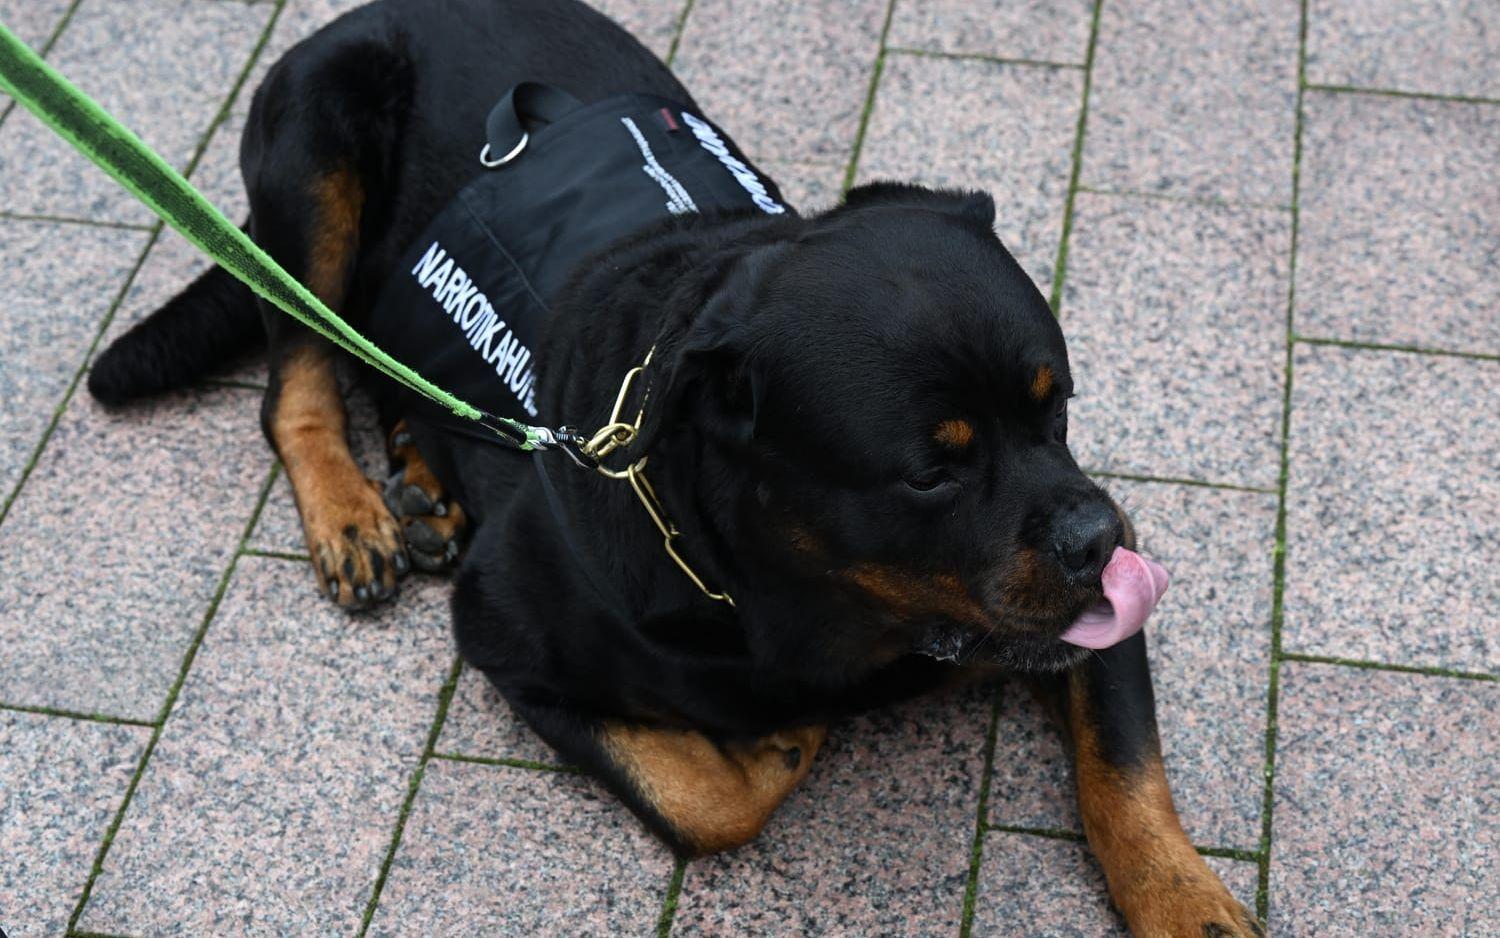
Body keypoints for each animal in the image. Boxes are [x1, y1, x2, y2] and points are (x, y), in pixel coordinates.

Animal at [87, 0, 1260, 930]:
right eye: (930, 473)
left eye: (1058, 406)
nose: (1097, 539)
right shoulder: (505, 633)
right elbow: (710, 801)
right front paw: (776, 746)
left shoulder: (1095, 607)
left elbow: (1127, 774)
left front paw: (1186, 900)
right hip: (314, 144)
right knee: (299, 372)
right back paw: (352, 510)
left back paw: (427, 474)